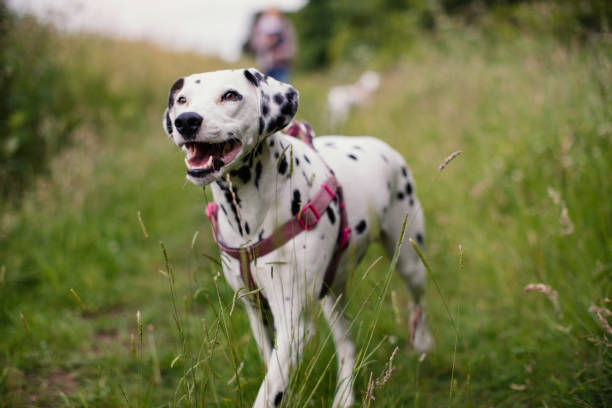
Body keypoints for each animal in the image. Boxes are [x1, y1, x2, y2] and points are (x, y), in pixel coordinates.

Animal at [161, 68, 430, 406]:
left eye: (231, 95)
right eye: (182, 100)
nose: (186, 121)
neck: (249, 217)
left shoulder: (294, 324)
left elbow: (268, 391)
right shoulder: (257, 312)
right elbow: (272, 373)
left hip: (409, 259)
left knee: (418, 302)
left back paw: (421, 342)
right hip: (332, 291)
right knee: (346, 343)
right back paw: (344, 396)